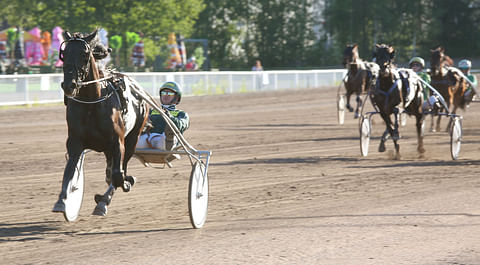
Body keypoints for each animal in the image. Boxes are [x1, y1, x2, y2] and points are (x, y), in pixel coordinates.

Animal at [52, 29, 148, 216]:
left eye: (84, 54)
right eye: (64, 54)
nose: (69, 85)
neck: (92, 103)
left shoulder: (118, 142)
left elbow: (118, 175)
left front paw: (122, 186)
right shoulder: (75, 142)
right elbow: (69, 171)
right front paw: (62, 201)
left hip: (133, 137)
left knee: (121, 167)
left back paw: (107, 197)